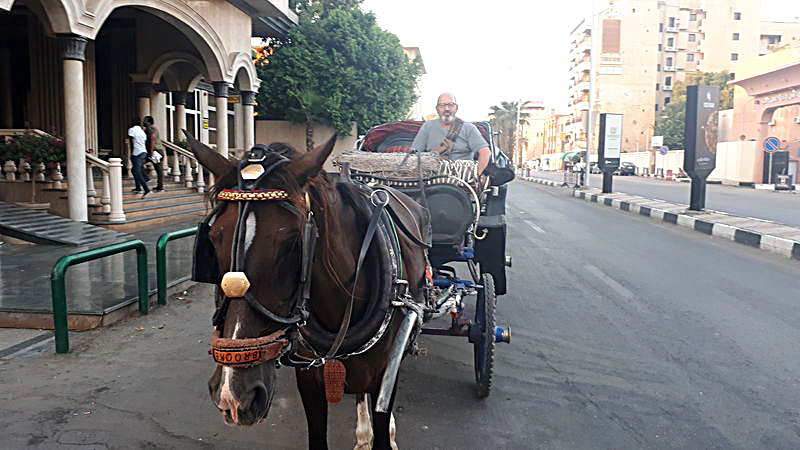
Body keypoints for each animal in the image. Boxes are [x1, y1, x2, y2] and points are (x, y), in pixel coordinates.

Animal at [187, 134, 432, 450]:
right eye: (214, 239)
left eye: (291, 244)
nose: (234, 395)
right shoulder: (309, 377)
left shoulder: (384, 372)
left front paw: (383, 431)